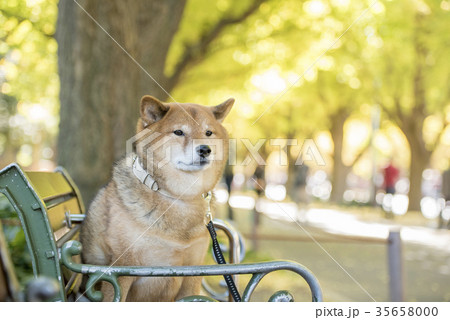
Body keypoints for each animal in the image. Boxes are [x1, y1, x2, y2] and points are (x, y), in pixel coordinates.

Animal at [80, 94, 236, 300]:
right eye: (178, 132)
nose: (205, 149)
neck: (179, 197)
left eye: (208, 132)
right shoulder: (120, 272)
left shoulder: (193, 273)